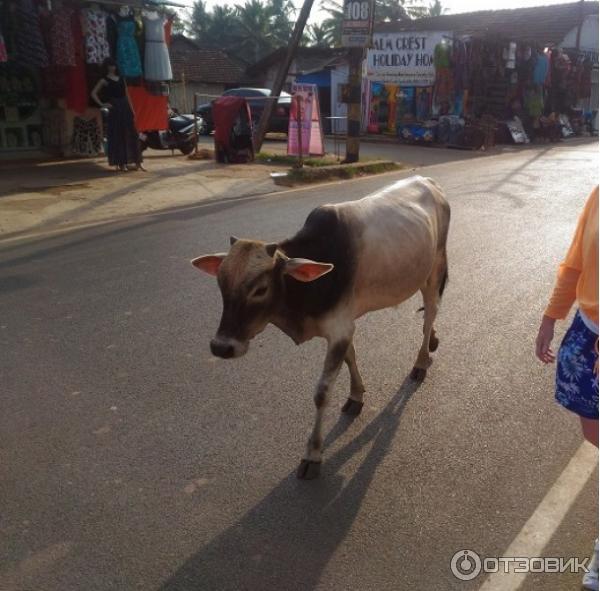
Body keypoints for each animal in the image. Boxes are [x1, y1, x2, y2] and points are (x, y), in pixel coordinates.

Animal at [192, 177, 450, 480]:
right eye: (221, 282)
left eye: (261, 289)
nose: (221, 346)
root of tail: (428, 181)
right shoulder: (344, 327)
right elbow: (351, 358)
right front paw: (356, 395)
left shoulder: (339, 329)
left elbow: (321, 393)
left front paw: (312, 454)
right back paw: (432, 342)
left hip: (435, 270)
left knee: (431, 313)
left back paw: (421, 361)